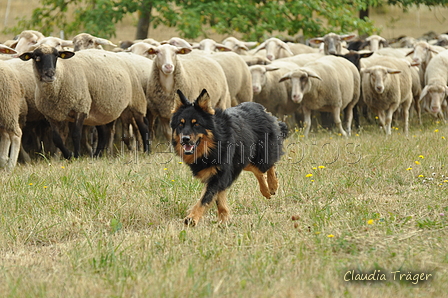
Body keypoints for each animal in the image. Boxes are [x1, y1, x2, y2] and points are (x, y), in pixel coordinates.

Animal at [19, 44, 150, 158]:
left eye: (56, 56)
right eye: (36, 57)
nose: (50, 74)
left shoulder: (81, 107)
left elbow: (76, 135)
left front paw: (76, 156)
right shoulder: (51, 116)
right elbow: (56, 139)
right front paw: (68, 155)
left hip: (136, 100)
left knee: (143, 127)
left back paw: (147, 151)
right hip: (99, 110)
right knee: (103, 133)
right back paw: (96, 156)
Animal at [170, 88, 288, 226]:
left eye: (196, 124)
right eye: (181, 124)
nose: (185, 139)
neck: (214, 143)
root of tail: (262, 109)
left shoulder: (220, 174)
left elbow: (205, 198)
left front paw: (192, 218)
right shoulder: (220, 174)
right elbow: (218, 198)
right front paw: (224, 218)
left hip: (260, 156)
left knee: (269, 165)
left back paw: (273, 185)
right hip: (243, 159)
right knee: (258, 171)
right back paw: (266, 191)